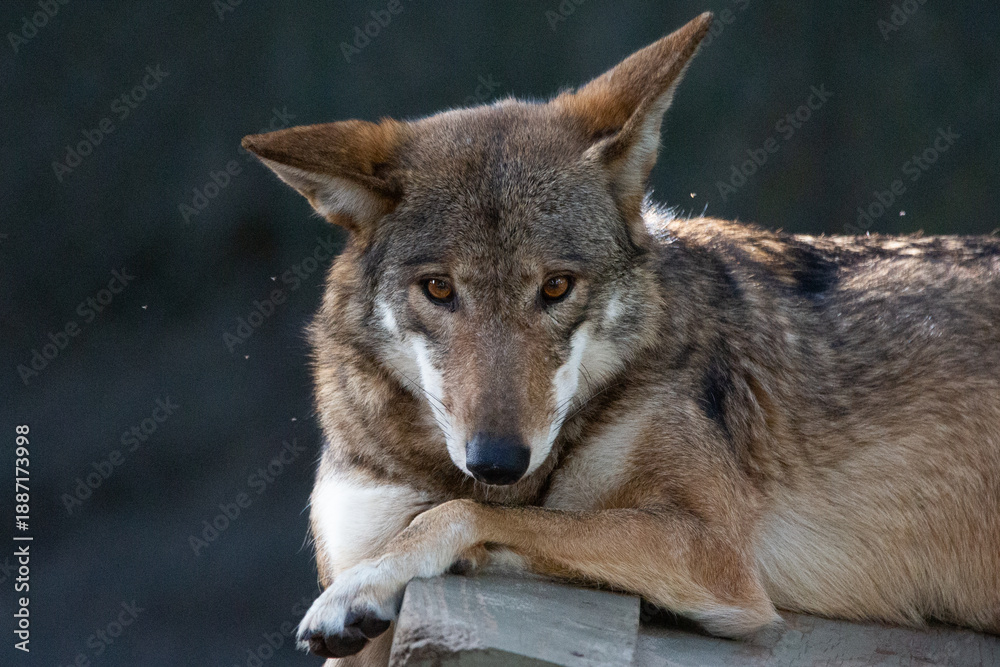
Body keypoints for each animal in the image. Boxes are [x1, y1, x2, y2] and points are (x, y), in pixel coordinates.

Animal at [242, 12, 1000, 663]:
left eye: (556, 287)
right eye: (438, 289)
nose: (497, 461)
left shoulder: (712, 554)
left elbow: (459, 514)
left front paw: (364, 588)